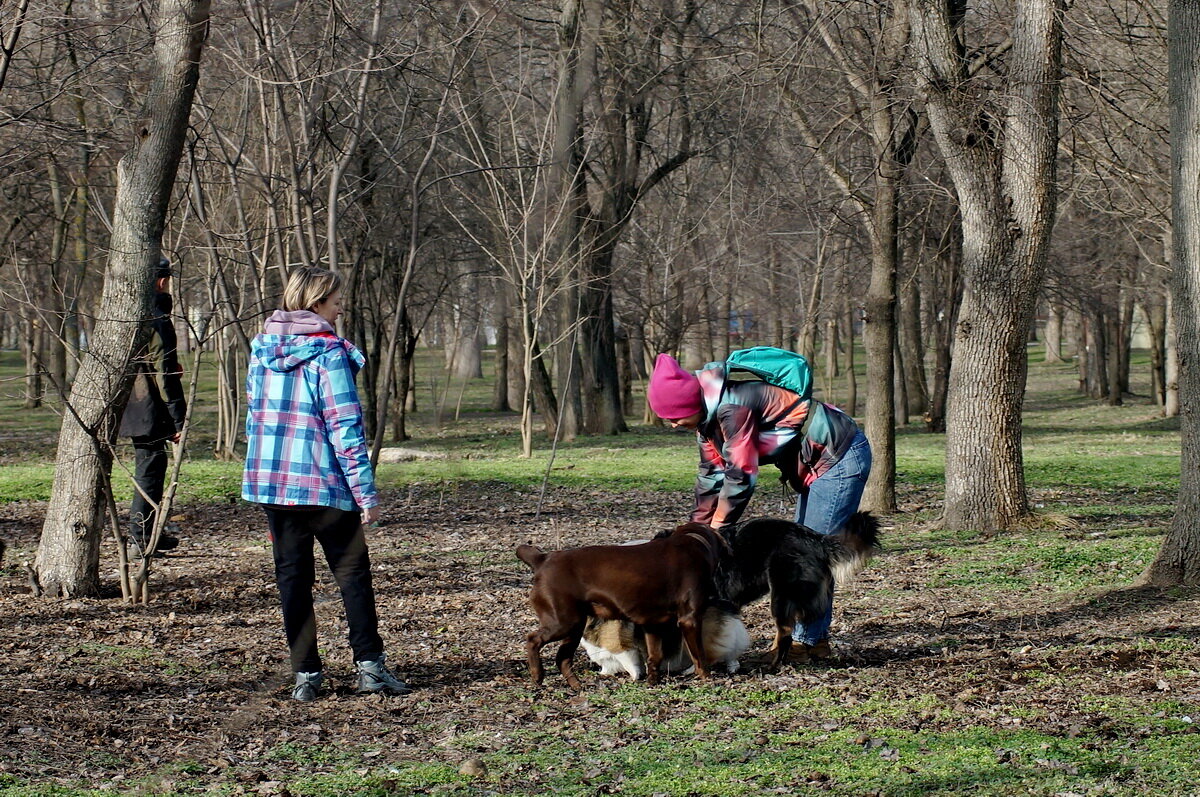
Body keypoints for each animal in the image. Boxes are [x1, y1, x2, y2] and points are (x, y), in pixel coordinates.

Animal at [513, 523, 720, 691]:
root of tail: (542, 558)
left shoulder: (652, 624)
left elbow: (655, 656)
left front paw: (653, 681)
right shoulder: (689, 620)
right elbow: (699, 656)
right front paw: (707, 678)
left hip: (575, 626)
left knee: (562, 658)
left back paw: (577, 685)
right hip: (563, 622)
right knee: (533, 640)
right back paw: (537, 675)